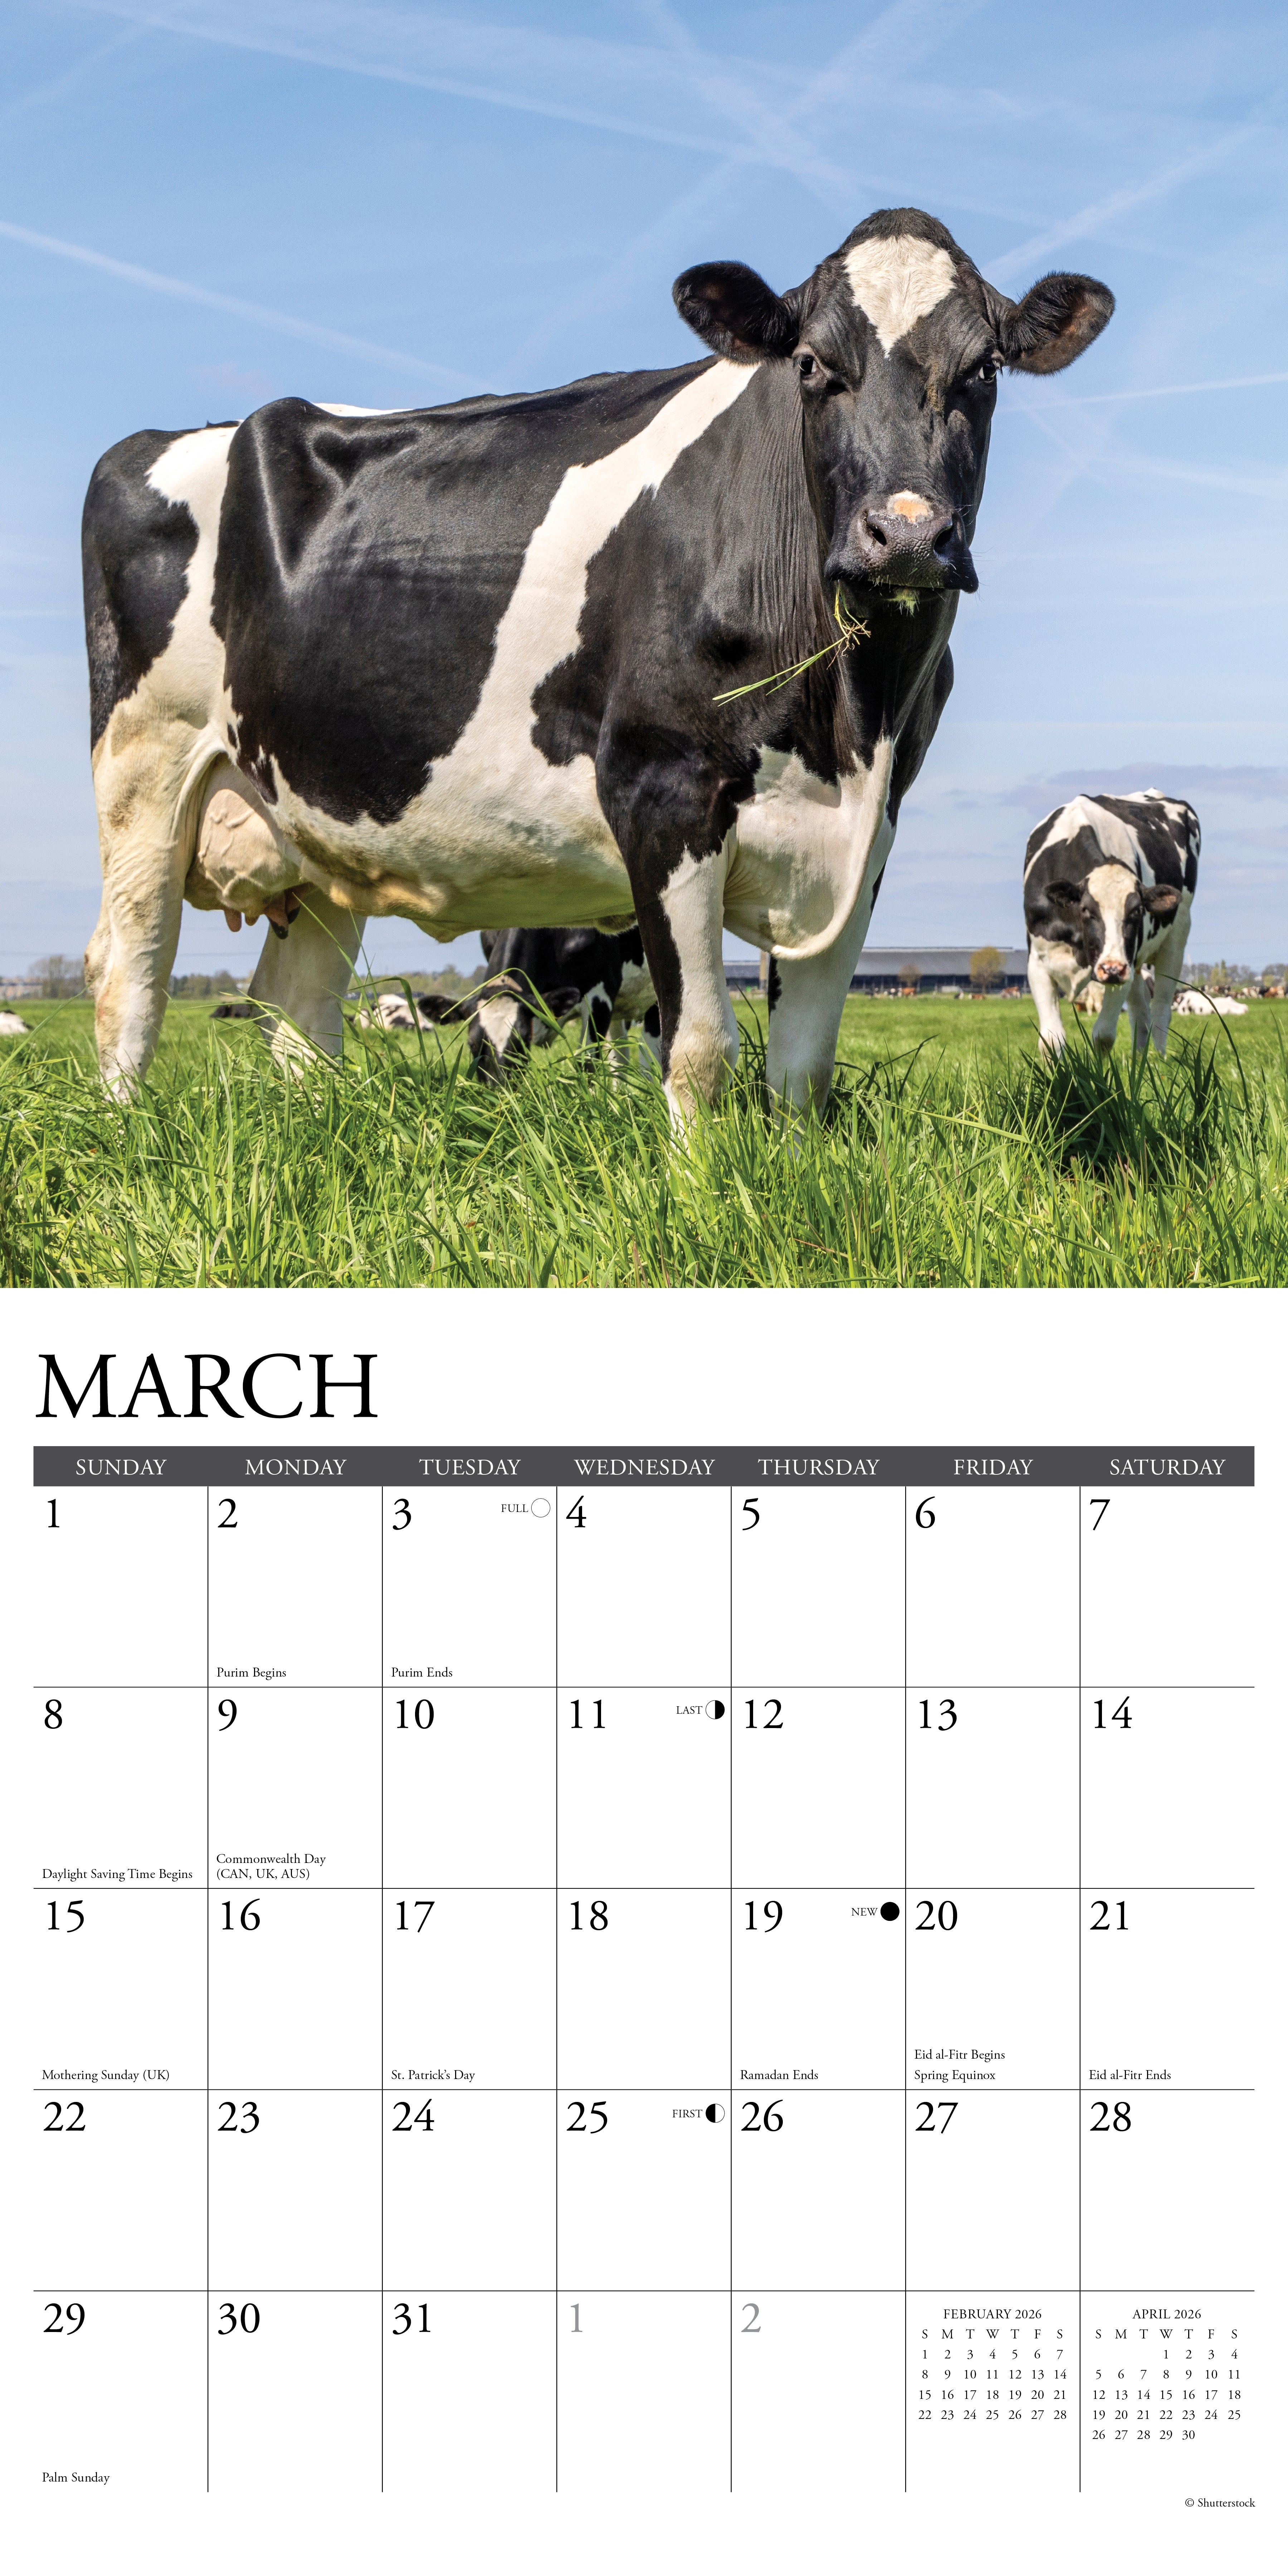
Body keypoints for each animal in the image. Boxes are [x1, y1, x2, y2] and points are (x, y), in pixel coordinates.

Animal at [470, 925, 659, 1081]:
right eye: (472, 1045)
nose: (499, 1090)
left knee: (650, 1058)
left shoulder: (600, 996)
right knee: (620, 1055)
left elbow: (587, 1062)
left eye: (521, 1042)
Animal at [1023, 792, 1199, 1057]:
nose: (1112, 968)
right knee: (1141, 1015)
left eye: (1137, 911)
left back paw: (1161, 1061)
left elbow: (1103, 1036)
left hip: (1175, 941)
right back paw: (1140, 1061)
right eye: (1086, 910)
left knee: (1161, 1010)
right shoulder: (1037, 963)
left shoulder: (1125, 966)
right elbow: (1051, 1040)